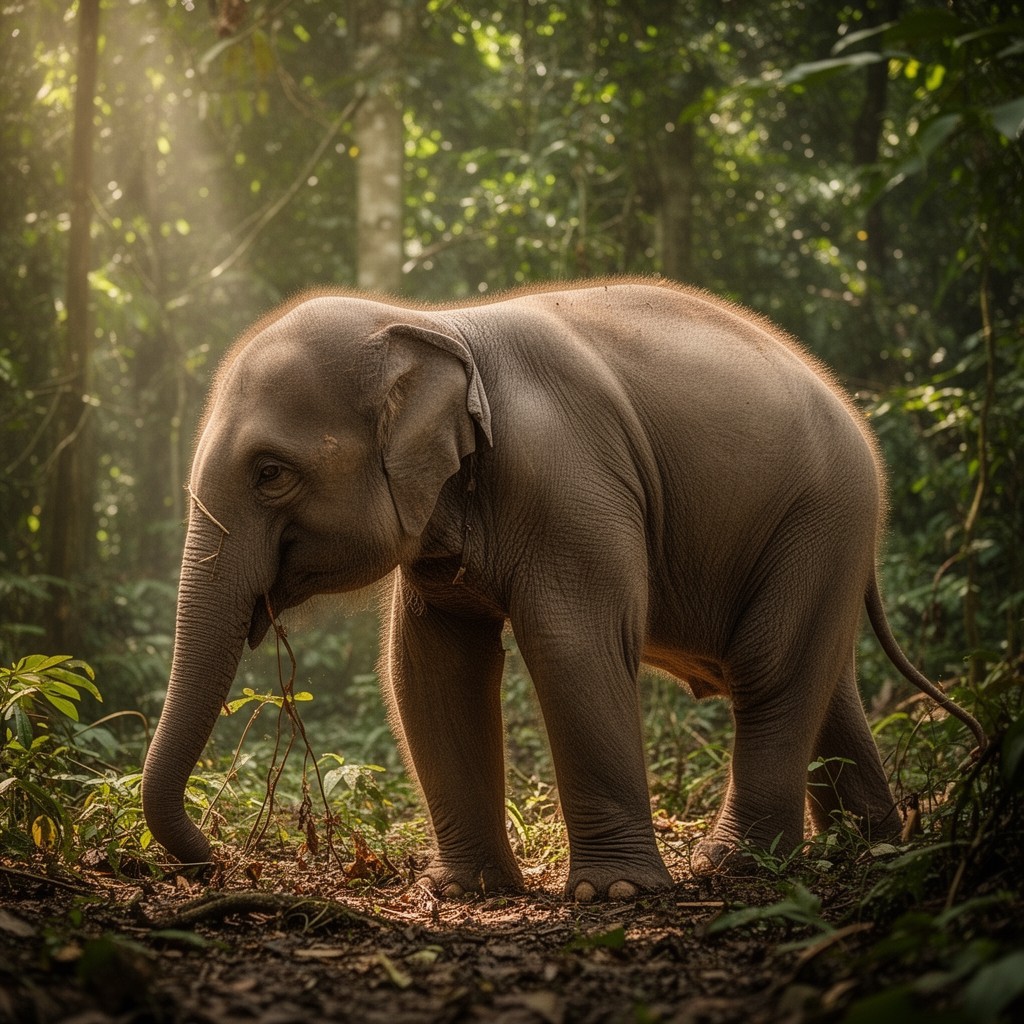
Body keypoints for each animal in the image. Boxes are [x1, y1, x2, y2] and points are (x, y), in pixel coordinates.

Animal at [141, 278, 985, 901]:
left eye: (270, 473)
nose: (218, 864)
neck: (434, 324)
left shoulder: (570, 478)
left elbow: (573, 643)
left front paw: (614, 895)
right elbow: (429, 664)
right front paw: (466, 892)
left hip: (823, 516)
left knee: (772, 670)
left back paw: (733, 866)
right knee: (826, 684)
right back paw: (875, 849)